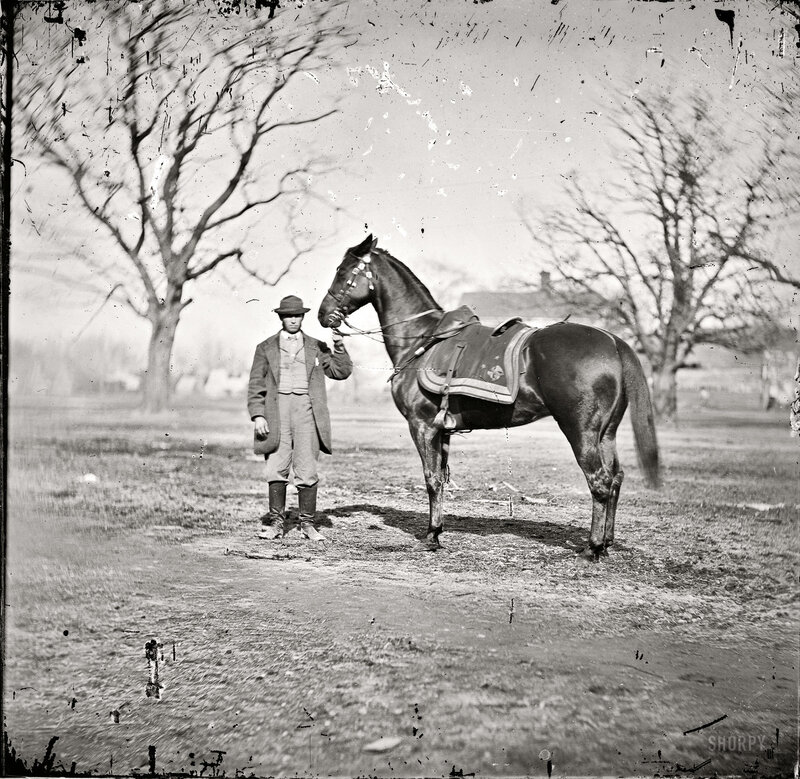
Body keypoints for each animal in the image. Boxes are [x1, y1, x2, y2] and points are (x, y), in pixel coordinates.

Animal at [318, 235, 661, 561]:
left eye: (343, 272)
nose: (323, 315)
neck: (424, 339)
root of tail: (613, 341)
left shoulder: (422, 425)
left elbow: (431, 478)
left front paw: (430, 537)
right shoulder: (442, 430)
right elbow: (441, 479)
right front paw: (438, 531)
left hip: (581, 431)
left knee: (599, 480)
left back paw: (592, 548)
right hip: (607, 433)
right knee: (615, 478)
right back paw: (606, 543)